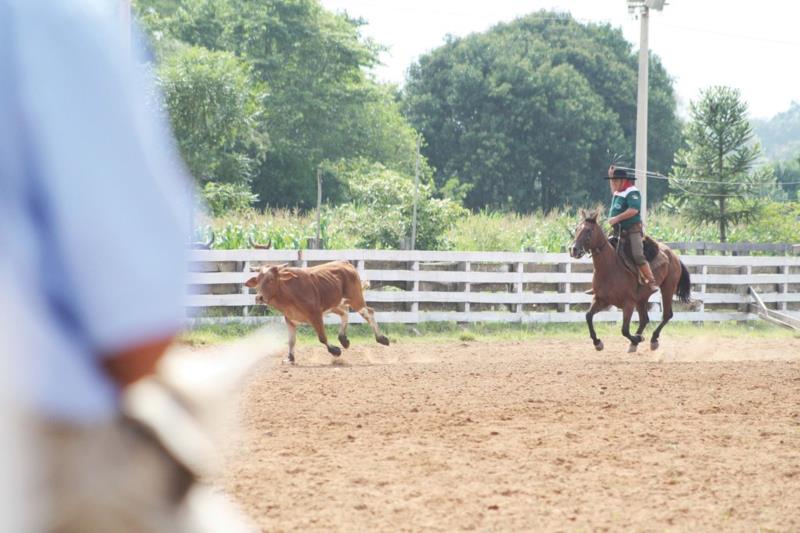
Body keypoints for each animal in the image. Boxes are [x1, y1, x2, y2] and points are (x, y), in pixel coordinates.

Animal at [247, 260, 390, 364]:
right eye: (258, 280)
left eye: (271, 279)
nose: (259, 297)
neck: (289, 293)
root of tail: (345, 263)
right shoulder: (290, 319)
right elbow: (291, 341)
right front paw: (290, 358)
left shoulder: (316, 315)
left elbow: (322, 337)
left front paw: (335, 351)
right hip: (335, 304)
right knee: (345, 313)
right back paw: (343, 339)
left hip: (356, 299)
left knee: (368, 312)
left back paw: (382, 338)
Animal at [564, 209, 692, 354]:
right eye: (576, 229)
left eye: (589, 230)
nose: (573, 249)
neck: (610, 267)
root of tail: (673, 255)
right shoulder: (601, 299)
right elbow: (588, 316)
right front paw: (598, 342)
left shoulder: (628, 304)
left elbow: (624, 330)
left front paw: (638, 338)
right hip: (642, 298)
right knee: (644, 319)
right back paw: (635, 342)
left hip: (667, 288)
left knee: (666, 315)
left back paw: (652, 339)